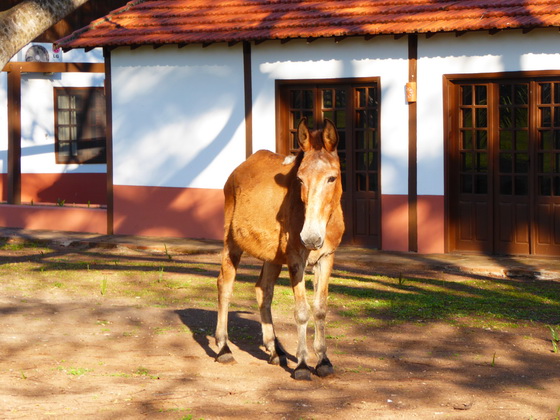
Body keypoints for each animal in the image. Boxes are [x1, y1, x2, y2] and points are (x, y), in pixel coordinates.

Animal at [215, 118, 344, 380]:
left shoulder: (326, 258)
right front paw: (303, 364)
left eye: (332, 178)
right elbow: (302, 311)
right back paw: (223, 348)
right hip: (232, 243)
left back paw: (275, 351)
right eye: (300, 179)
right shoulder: (296, 260)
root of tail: (240, 168)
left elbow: (320, 309)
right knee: (225, 285)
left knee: (263, 290)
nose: (311, 238)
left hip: (272, 256)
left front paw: (323, 361)